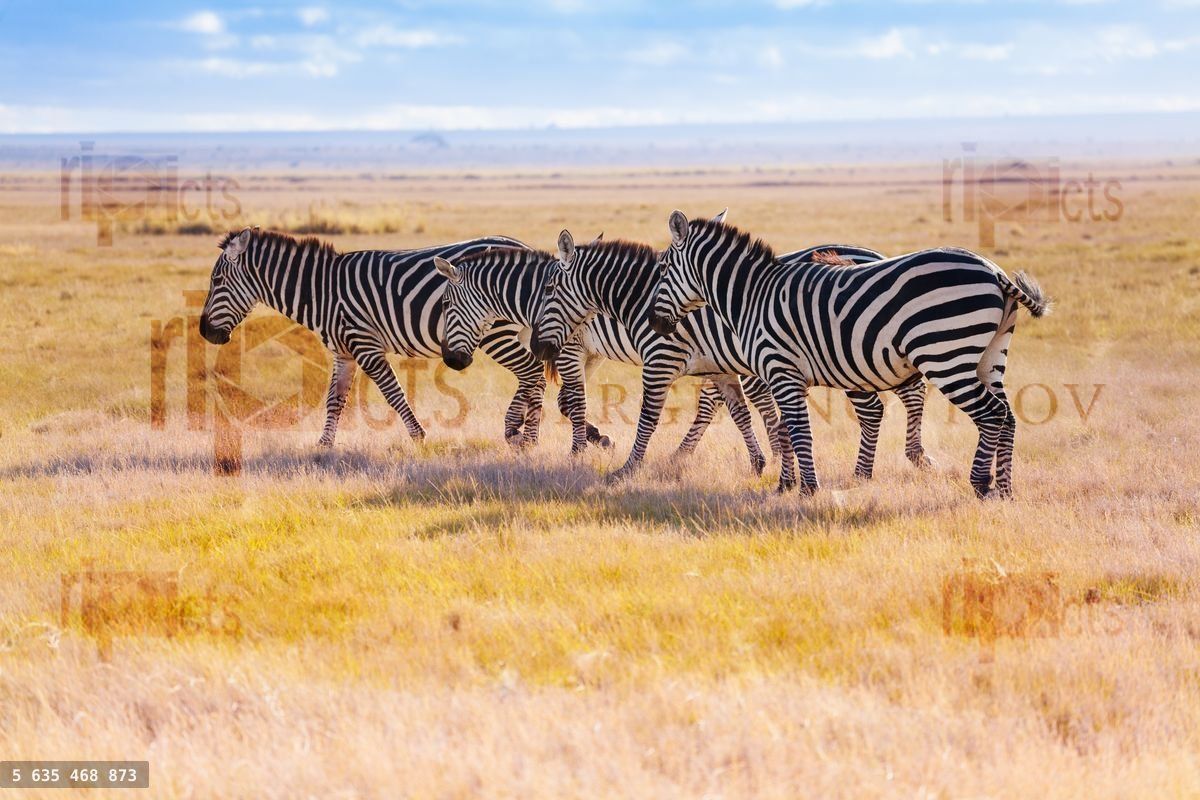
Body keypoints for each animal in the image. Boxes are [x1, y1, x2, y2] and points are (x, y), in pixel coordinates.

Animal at [198, 227, 557, 449]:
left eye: (216, 281)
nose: (204, 332)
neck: (323, 292)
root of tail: (523, 247)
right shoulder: (343, 352)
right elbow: (335, 399)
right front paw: (323, 446)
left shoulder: (365, 344)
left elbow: (393, 393)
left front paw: (418, 437)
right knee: (535, 376)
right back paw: (531, 436)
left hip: (496, 332)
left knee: (532, 374)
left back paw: (521, 435)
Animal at [433, 245, 781, 474]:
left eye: (446, 305)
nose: (452, 361)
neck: (535, 298)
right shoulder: (590, 354)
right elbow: (565, 401)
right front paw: (595, 438)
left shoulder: (571, 350)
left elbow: (574, 402)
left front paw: (574, 451)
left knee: (754, 398)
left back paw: (777, 451)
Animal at [530, 229, 934, 489]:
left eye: (548, 290)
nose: (538, 348)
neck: (642, 298)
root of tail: (873, 255)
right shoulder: (720, 366)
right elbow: (737, 411)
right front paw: (763, 461)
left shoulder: (659, 359)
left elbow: (639, 417)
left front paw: (615, 462)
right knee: (907, 394)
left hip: (853, 359)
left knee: (884, 405)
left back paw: (889, 464)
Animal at [650, 210, 1050, 497]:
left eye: (664, 269)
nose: (655, 321)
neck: (752, 296)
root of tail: (993, 270)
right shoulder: (783, 376)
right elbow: (784, 427)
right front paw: (787, 485)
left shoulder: (781, 370)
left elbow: (797, 429)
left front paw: (807, 490)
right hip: (989, 356)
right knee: (1008, 415)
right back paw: (1005, 489)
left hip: (946, 355)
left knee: (991, 414)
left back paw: (980, 484)